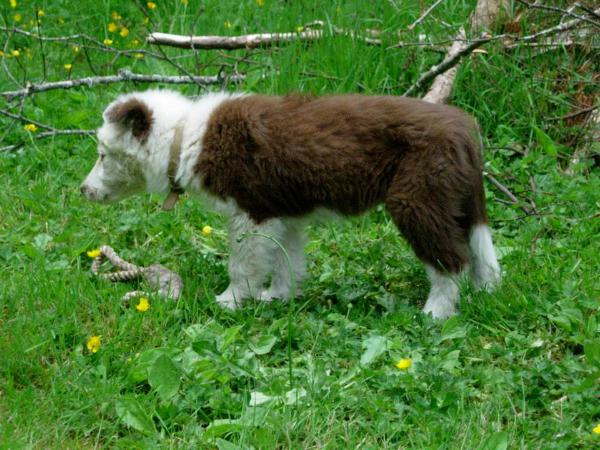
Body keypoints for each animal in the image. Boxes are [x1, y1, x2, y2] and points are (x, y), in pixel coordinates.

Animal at [81, 89, 502, 320]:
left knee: (452, 259)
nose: (83, 191)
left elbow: (242, 264)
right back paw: (486, 295)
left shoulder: (252, 213)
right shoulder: (284, 213)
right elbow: (286, 260)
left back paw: (436, 312)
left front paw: (230, 301)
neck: (186, 137)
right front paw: (278, 298)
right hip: (456, 197)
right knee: (481, 254)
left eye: (102, 155)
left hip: (416, 197)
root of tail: (465, 130)